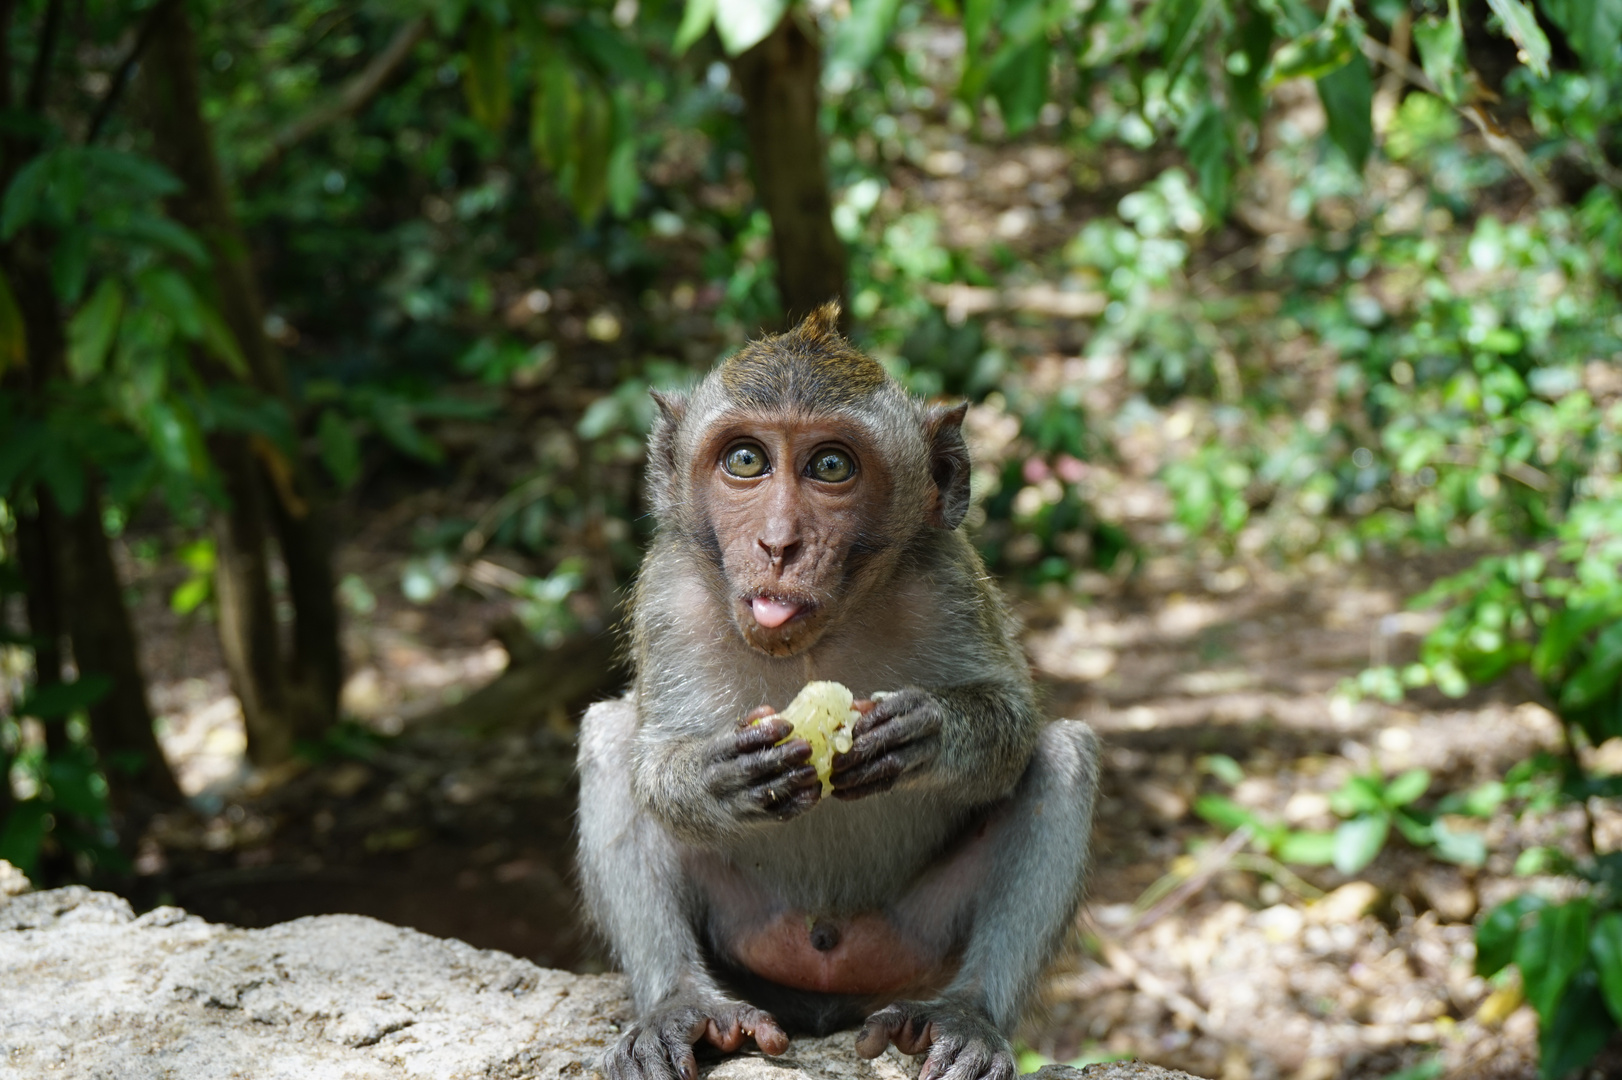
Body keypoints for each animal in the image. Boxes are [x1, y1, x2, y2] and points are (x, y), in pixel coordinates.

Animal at [577, 298, 1096, 1076]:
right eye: (746, 461)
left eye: (830, 467)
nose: (778, 544)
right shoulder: (667, 593)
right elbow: (651, 755)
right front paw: (714, 777)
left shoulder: (947, 581)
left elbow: (1012, 729)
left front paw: (925, 733)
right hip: (748, 931)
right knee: (608, 738)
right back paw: (681, 1007)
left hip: (915, 939)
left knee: (1064, 755)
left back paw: (965, 1018)